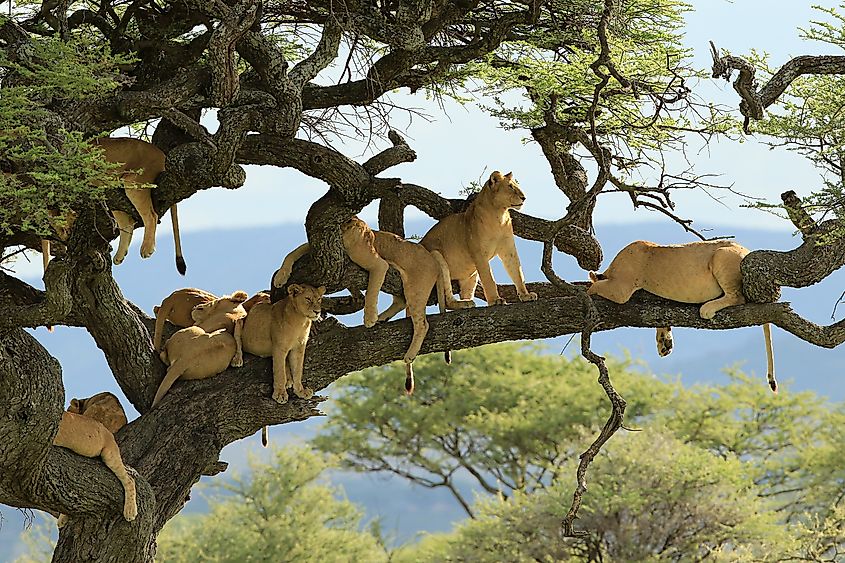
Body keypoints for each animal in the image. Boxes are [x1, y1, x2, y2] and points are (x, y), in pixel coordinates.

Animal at [41, 137, 186, 276]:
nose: (65, 237)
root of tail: (162, 155)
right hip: (115, 195)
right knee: (127, 224)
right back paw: (120, 256)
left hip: (134, 182)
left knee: (151, 216)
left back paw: (147, 248)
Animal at [272, 218, 475, 394]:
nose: (360, 230)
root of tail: (431, 256)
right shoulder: (313, 250)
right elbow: (292, 253)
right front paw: (280, 277)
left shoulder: (379, 264)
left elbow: (371, 290)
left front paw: (369, 318)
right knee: (401, 302)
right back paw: (383, 318)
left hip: (416, 288)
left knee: (422, 324)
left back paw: (407, 352)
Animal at [420, 171, 538, 306]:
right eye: (510, 187)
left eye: (516, 185)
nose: (524, 197)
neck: (499, 215)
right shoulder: (479, 253)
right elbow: (488, 278)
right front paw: (495, 300)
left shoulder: (509, 250)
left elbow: (517, 273)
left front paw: (526, 295)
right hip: (436, 256)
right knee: (447, 300)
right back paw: (463, 303)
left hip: (471, 275)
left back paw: (468, 301)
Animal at [587, 240, 776, 392]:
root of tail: (747, 251)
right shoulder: (655, 299)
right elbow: (660, 316)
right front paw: (664, 343)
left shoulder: (621, 288)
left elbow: (592, 287)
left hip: (721, 255)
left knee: (737, 297)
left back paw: (707, 308)